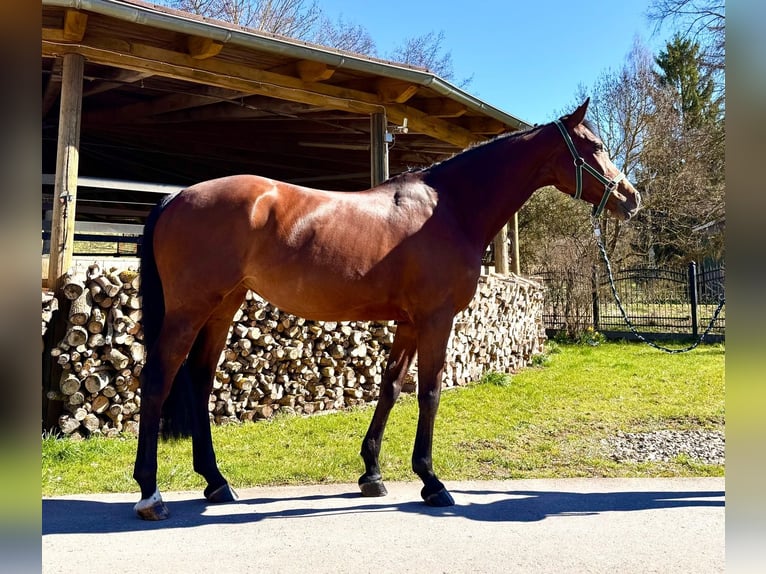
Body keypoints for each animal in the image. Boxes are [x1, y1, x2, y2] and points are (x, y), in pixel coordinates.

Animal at [133, 98, 640, 520]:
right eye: (595, 146)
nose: (630, 198)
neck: (449, 207)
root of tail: (175, 197)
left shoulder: (409, 323)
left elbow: (392, 387)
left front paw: (372, 473)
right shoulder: (436, 319)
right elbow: (430, 392)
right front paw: (432, 481)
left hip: (223, 306)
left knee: (199, 380)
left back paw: (217, 482)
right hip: (189, 310)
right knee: (157, 378)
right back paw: (150, 494)